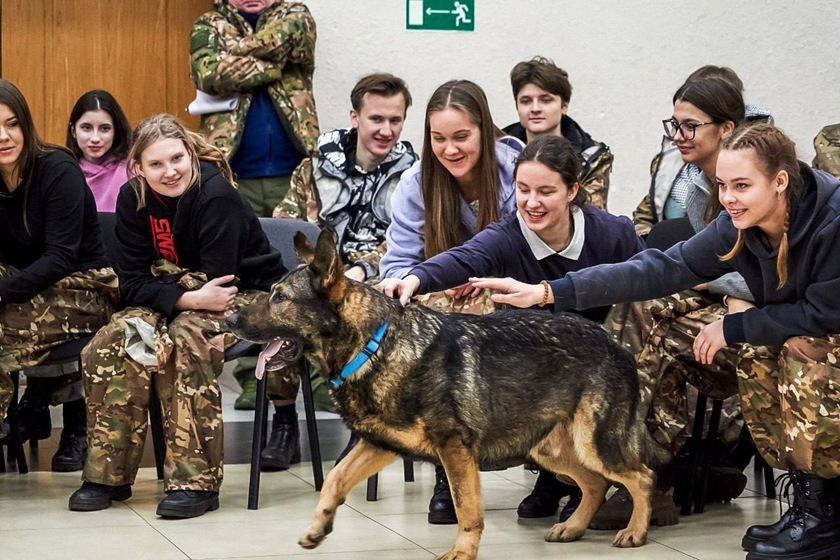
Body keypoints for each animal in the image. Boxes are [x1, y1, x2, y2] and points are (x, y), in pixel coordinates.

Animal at [226, 229, 668, 560]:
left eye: (280, 298)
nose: (229, 319)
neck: (374, 344)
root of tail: (614, 343)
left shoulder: (454, 450)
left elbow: (466, 508)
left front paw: (463, 552)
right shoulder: (380, 445)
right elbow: (334, 479)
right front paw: (319, 525)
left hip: (593, 443)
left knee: (641, 477)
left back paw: (635, 531)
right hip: (550, 449)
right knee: (594, 484)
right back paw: (574, 527)